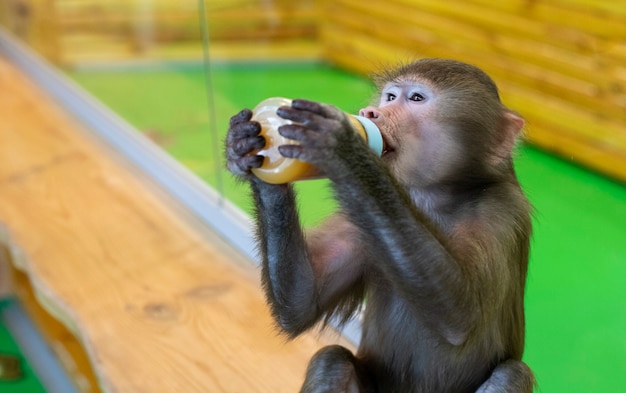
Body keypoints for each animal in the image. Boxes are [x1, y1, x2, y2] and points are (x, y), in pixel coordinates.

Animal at [223, 59, 532, 392]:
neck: (432, 198)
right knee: (332, 360)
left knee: (510, 372)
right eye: (390, 97)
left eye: (416, 98)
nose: (371, 113)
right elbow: (301, 302)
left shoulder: (501, 211)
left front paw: (343, 149)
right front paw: (243, 147)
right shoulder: (364, 207)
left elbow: (461, 317)